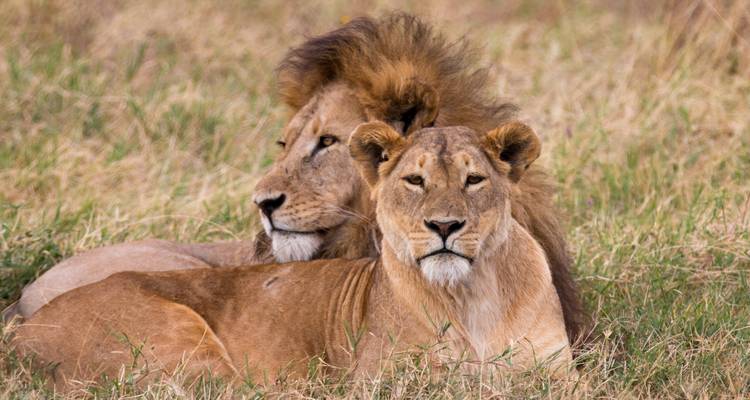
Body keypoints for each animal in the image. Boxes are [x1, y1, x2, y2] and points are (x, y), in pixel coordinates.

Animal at [14, 122, 573, 389]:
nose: (444, 226)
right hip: (178, 345)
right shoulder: (390, 380)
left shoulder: (555, 373)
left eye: (473, 179)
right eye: (415, 181)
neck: (474, 293)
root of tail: (23, 328)